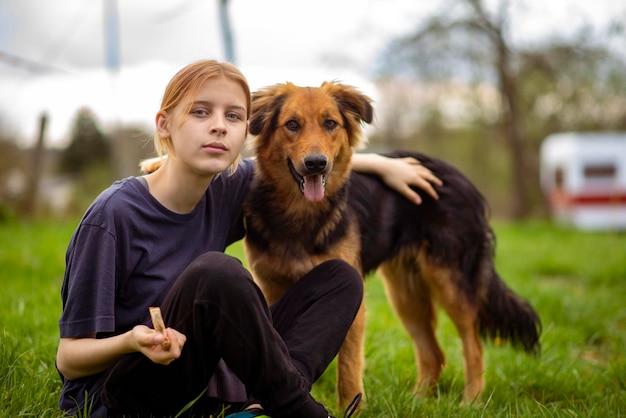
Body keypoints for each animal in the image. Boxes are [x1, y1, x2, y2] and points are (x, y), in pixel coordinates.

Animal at [241, 81, 540, 408]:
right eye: (292, 125)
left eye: (330, 123)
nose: (316, 164)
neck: (299, 215)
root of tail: (461, 178)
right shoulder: (271, 288)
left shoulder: (352, 299)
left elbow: (348, 370)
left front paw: (352, 409)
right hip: (404, 292)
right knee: (433, 354)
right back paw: (418, 402)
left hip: (449, 281)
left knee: (472, 343)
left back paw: (470, 402)